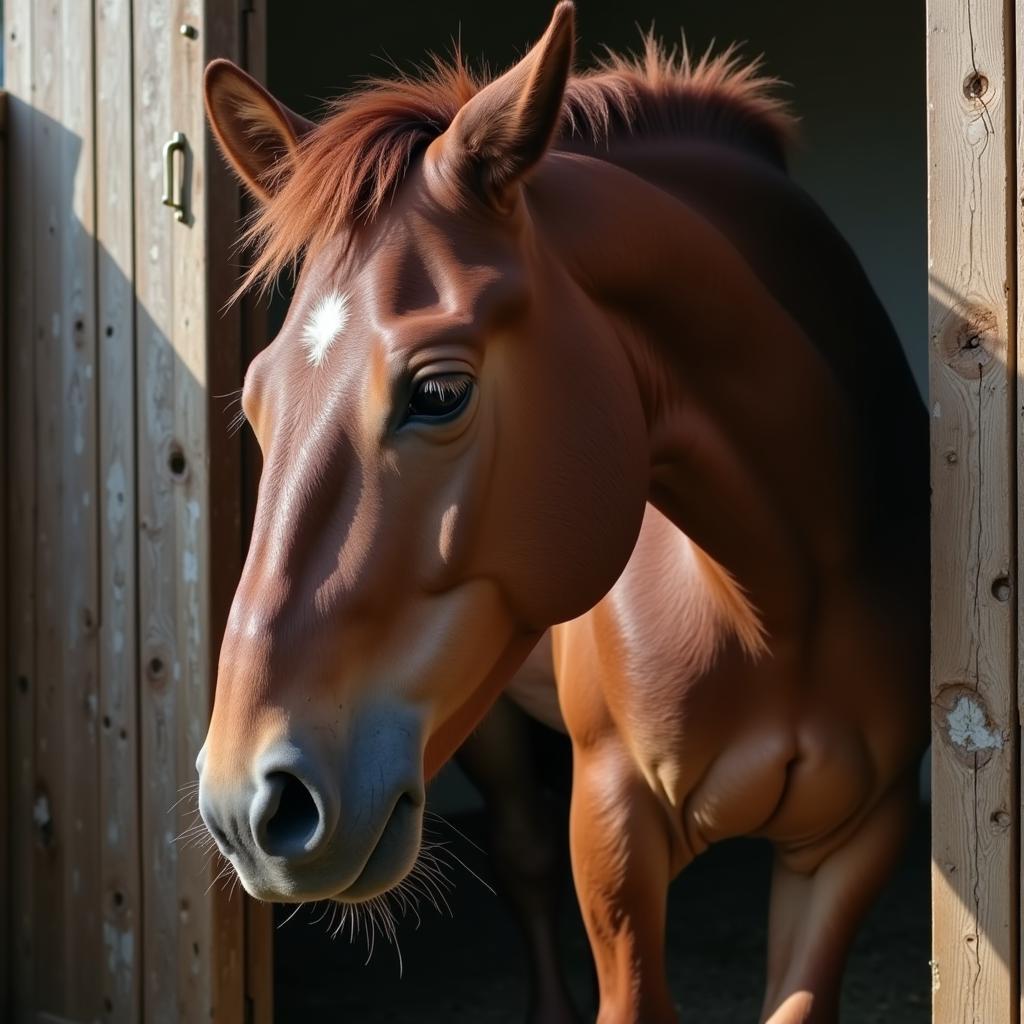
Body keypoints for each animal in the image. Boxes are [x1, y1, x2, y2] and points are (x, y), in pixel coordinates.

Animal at [197, 6, 929, 1015]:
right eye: (258, 402)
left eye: (438, 392)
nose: (247, 803)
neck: (781, 599)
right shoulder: (613, 823)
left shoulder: (853, 845)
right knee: (524, 857)